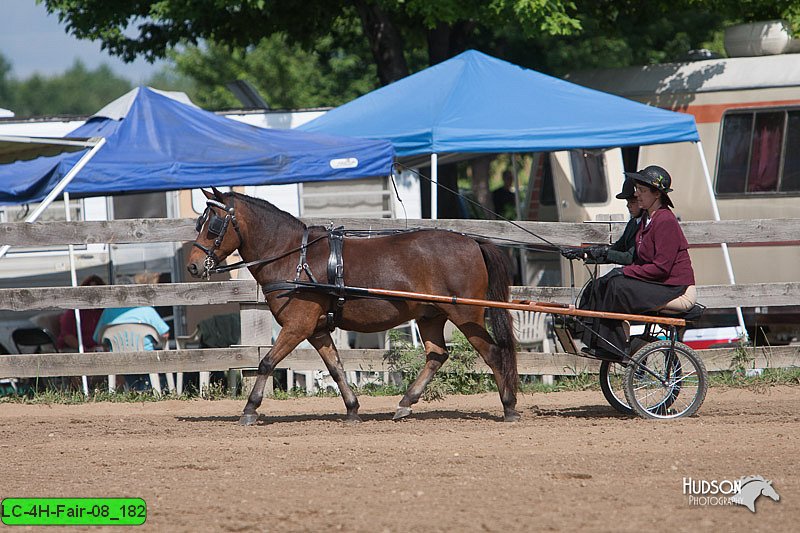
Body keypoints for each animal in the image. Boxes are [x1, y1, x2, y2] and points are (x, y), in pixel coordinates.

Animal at [190, 187, 520, 424]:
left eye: (213, 225)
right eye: (200, 222)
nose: (193, 265)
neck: (293, 257)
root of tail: (473, 242)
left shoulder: (297, 326)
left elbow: (267, 362)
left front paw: (250, 409)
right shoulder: (317, 329)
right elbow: (335, 368)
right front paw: (351, 409)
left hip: (466, 313)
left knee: (493, 353)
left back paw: (509, 406)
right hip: (431, 315)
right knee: (437, 355)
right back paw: (405, 403)